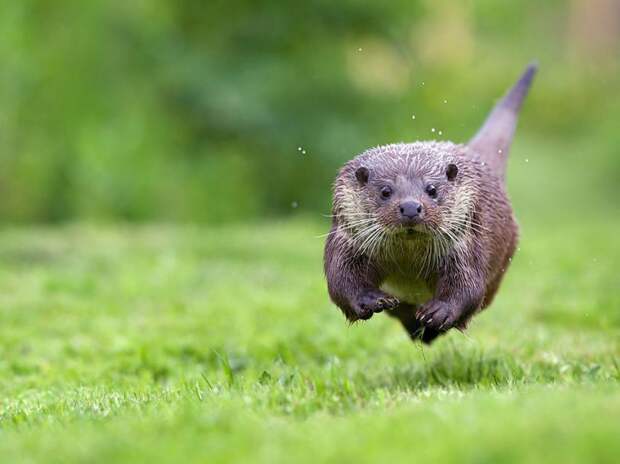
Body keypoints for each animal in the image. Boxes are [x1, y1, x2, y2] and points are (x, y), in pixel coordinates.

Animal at [324, 63, 536, 342]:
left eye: (432, 189)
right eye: (385, 191)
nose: (411, 207)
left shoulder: (465, 245)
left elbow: (467, 286)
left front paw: (439, 313)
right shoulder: (347, 239)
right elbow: (340, 279)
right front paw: (369, 299)